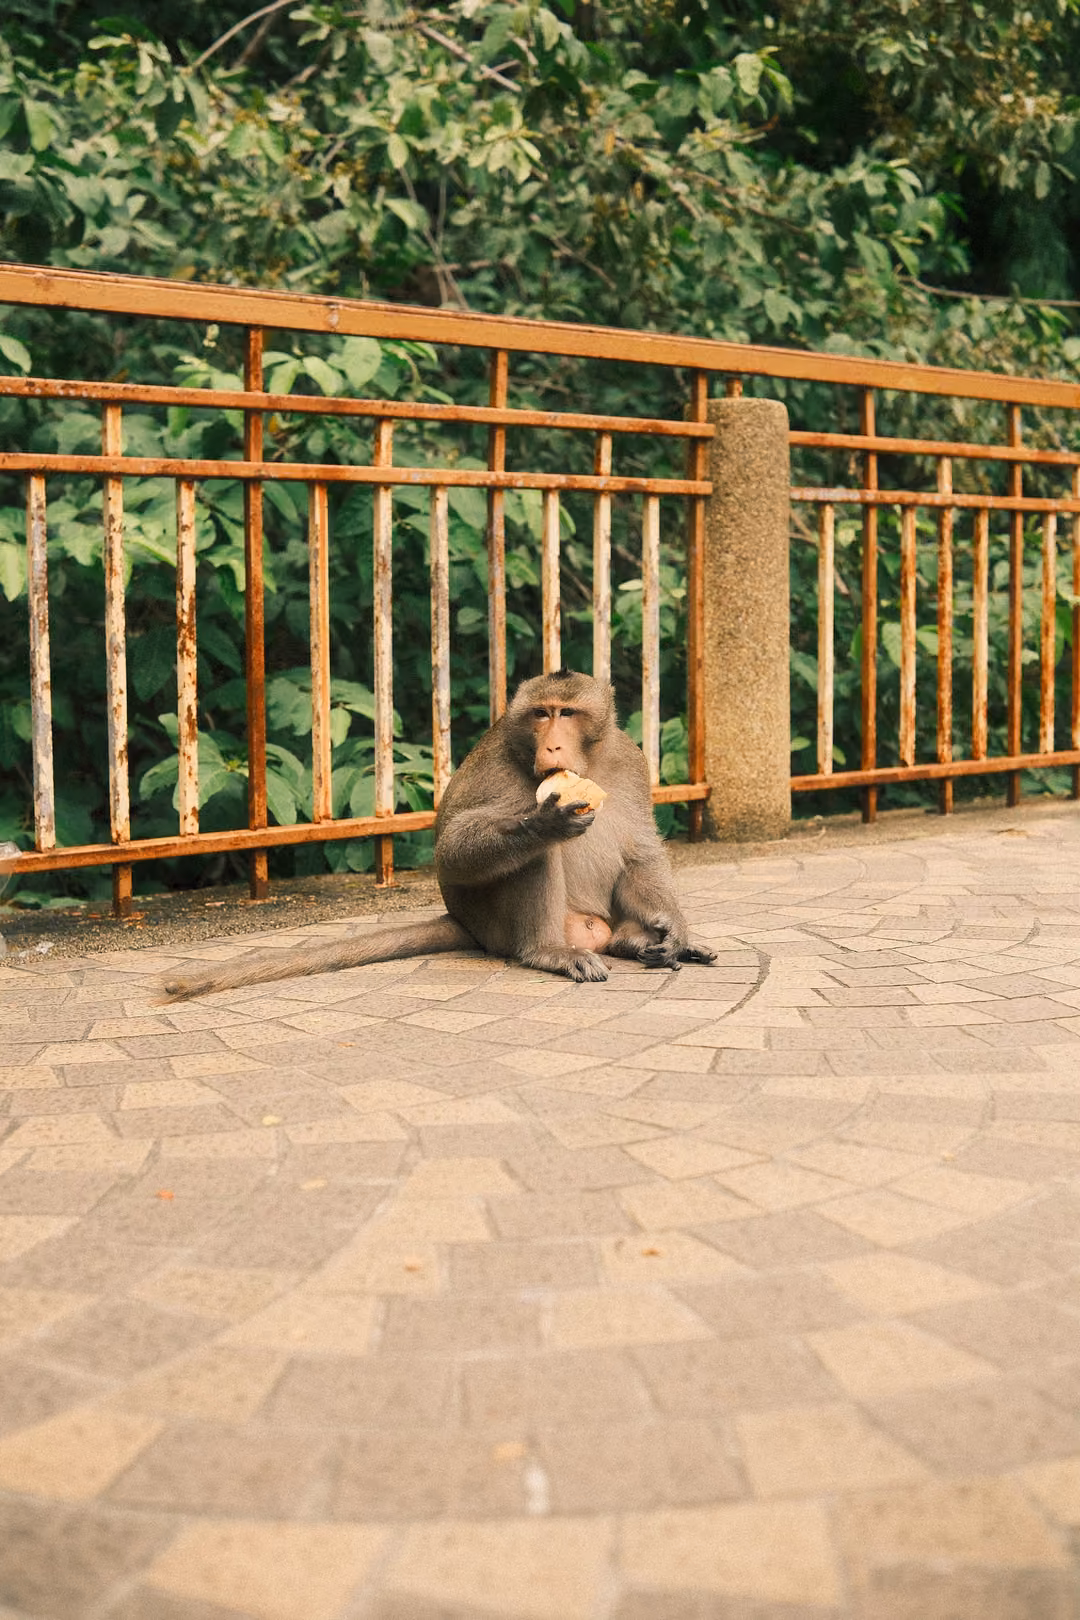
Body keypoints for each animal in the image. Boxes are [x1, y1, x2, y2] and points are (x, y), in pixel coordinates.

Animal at [159, 670, 715, 1000]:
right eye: (541, 714)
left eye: (568, 713)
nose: (553, 746)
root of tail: (466, 924)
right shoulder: (496, 763)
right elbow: (452, 850)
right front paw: (544, 822)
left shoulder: (628, 759)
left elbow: (641, 845)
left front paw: (673, 928)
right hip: (498, 926)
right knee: (534, 859)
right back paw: (547, 950)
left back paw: (635, 940)